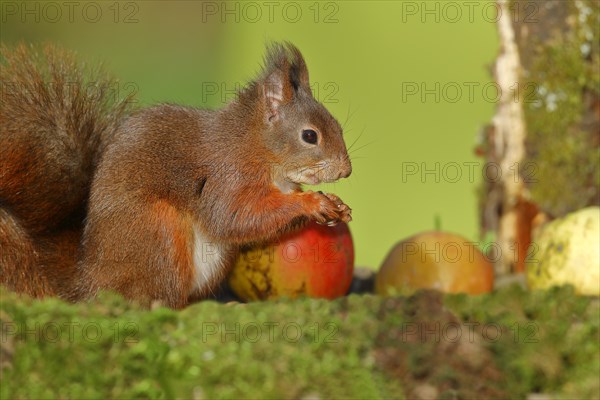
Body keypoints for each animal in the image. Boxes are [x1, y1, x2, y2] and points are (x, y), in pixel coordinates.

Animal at [1, 42, 352, 308]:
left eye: (338, 124)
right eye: (310, 136)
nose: (346, 170)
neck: (255, 146)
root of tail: (91, 280)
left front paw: (336, 204)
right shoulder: (226, 176)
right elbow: (233, 216)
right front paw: (312, 204)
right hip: (160, 234)